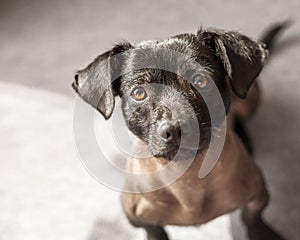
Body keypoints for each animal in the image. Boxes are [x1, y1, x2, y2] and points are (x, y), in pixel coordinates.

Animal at [71, 21, 290, 239]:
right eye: (139, 93)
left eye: (201, 81)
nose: (175, 129)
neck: (187, 178)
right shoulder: (140, 220)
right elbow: (155, 232)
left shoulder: (259, 194)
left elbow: (252, 219)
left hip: (251, 99)